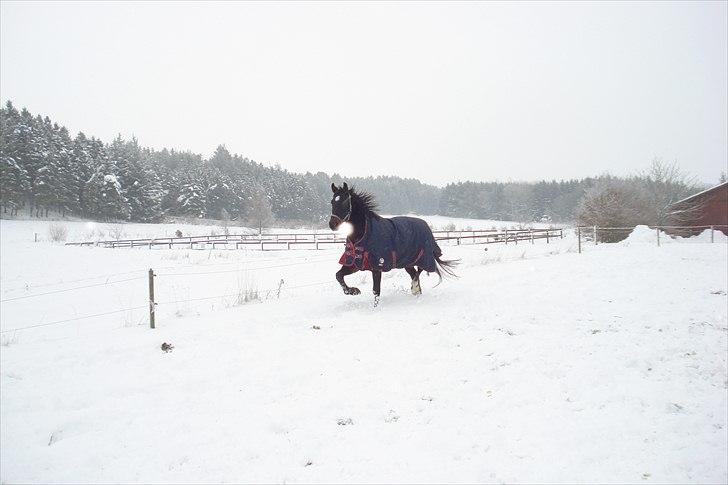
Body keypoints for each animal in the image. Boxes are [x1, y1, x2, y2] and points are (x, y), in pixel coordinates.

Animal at [328, 183, 458, 304]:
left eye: (345, 202)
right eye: (332, 202)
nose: (332, 224)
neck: (363, 234)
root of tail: (425, 225)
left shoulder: (377, 267)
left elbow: (376, 291)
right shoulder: (354, 263)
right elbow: (338, 275)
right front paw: (354, 291)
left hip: (422, 257)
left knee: (419, 272)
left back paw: (414, 287)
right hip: (408, 262)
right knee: (414, 273)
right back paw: (417, 292)